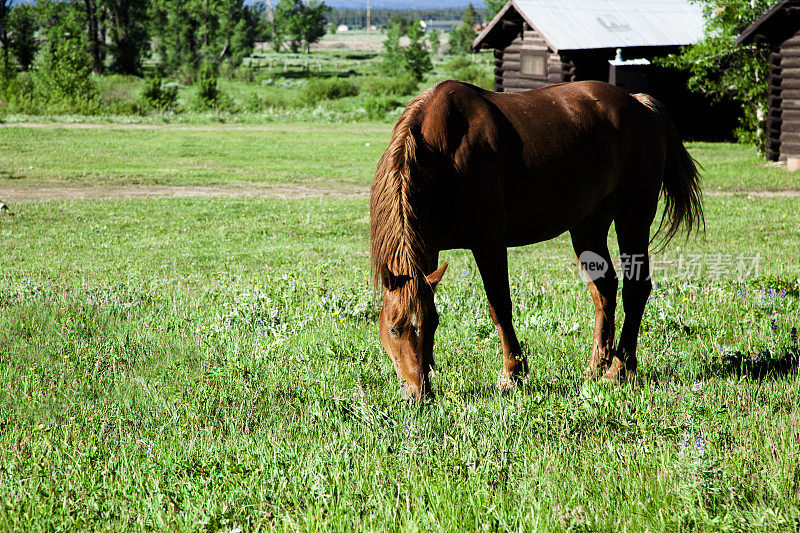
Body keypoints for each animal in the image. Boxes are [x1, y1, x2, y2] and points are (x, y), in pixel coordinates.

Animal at [368, 78, 700, 394]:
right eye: (394, 328)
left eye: (433, 324)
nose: (418, 392)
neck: (441, 154)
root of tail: (638, 103)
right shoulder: (429, 246)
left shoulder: (488, 242)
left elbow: (499, 305)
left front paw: (512, 374)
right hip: (588, 226)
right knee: (604, 289)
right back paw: (596, 366)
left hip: (633, 217)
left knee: (636, 288)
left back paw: (619, 369)